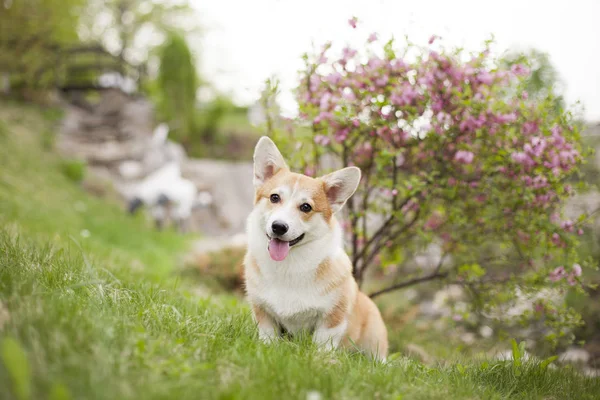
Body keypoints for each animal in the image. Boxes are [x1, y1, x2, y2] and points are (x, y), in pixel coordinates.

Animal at [244, 136, 390, 360]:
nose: (279, 227)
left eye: (306, 207)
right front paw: (267, 349)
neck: (288, 265)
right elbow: (268, 335)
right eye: (274, 197)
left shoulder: (332, 318)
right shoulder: (262, 310)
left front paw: (321, 361)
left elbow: (322, 344)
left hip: (374, 339)